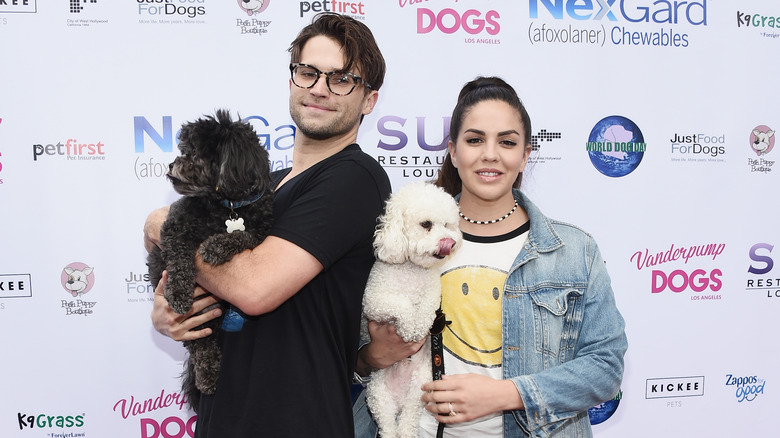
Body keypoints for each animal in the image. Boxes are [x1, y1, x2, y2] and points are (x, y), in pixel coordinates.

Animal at [147, 109, 274, 410]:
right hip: (199, 319)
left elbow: (242, 236)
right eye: (183, 149)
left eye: (193, 152)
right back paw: (207, 377)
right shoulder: (175, 228)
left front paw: (215, 246)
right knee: (201, 346)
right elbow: (179, 261)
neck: (227, 204)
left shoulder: (261, 232)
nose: (171, 164)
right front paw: (178, 292)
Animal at [362, 180, 464, 438]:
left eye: (447, 225)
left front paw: (420, 326)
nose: (449, 242)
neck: (413, 270)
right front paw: (410, 329)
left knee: (408, 419)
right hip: (378, 395)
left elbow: (426, 307)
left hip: (419, 387)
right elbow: (402, 304)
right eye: (426, 224)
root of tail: (398, 402)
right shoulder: (373, 301)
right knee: (388, 426)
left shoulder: (433, 294)